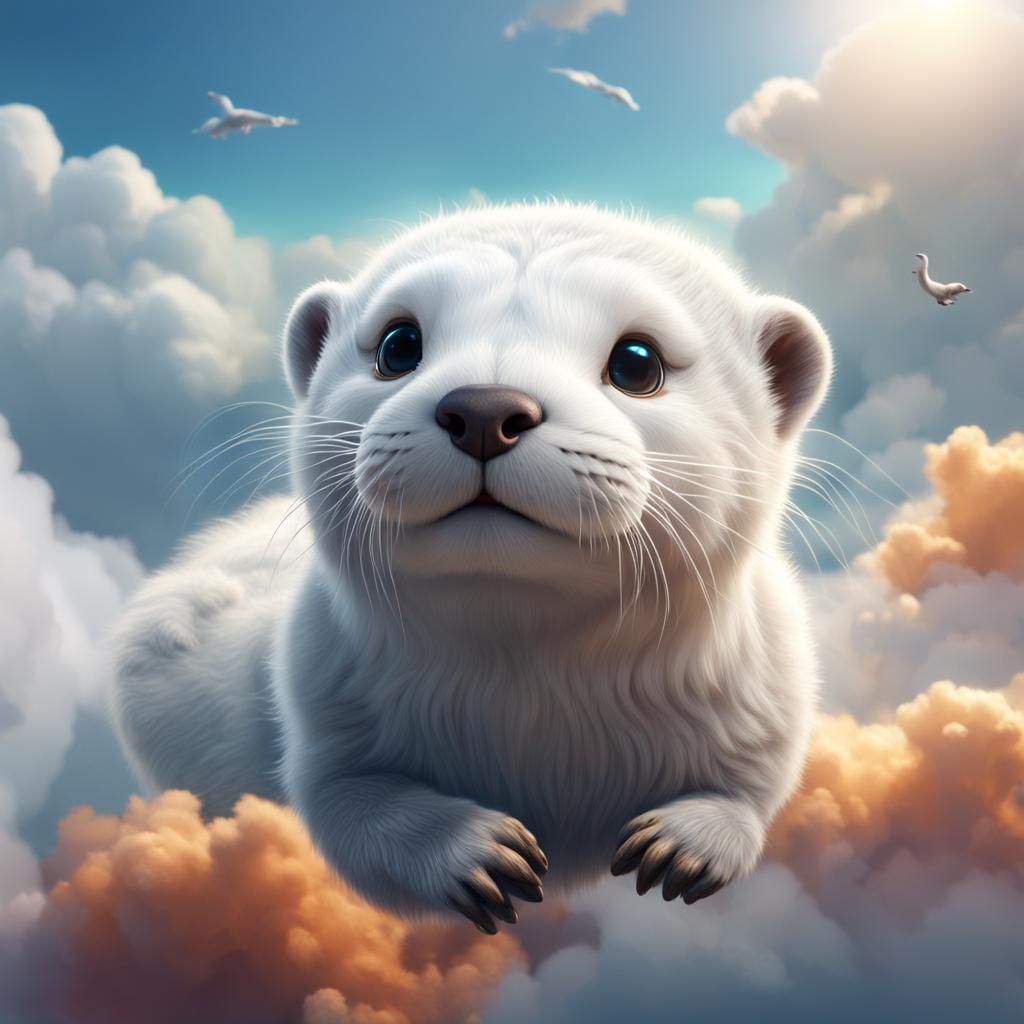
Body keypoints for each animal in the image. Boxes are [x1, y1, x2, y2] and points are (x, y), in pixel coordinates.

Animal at [111, 203, 832, 933]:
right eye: (397, 344)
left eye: (638, 361)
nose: (486, 409)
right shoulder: (320, 707)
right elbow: (350, 809)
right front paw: (475, 850)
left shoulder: (767, 690)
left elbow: (750, 787)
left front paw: (684, 841)